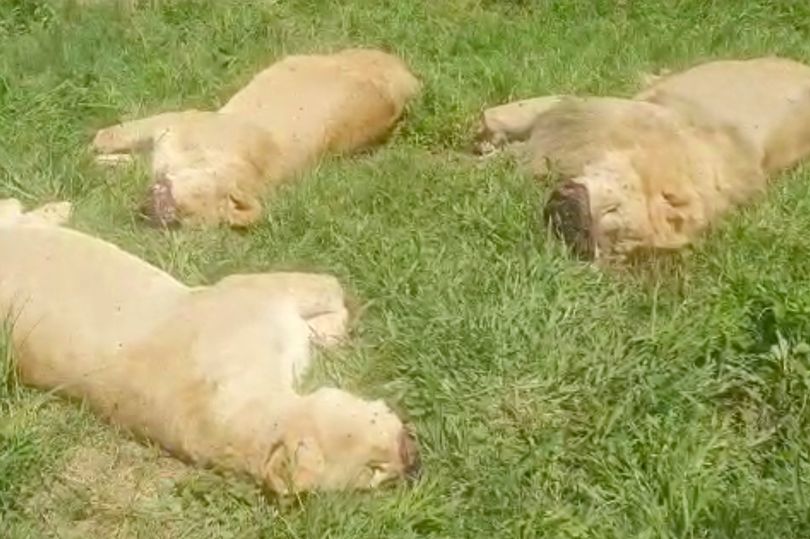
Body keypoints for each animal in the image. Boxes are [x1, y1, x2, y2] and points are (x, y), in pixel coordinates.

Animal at [0, 198, 420, 494]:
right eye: (373, 472)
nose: (412, 461)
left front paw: (331, 331)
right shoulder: (258, 291)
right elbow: (327, 288)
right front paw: (338, 322)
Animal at [92, 48, 420, 228]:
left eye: (183, 222)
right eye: (190, 203)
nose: (157, 216)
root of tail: (407, 76)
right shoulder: (175, 122)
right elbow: (109, 137)